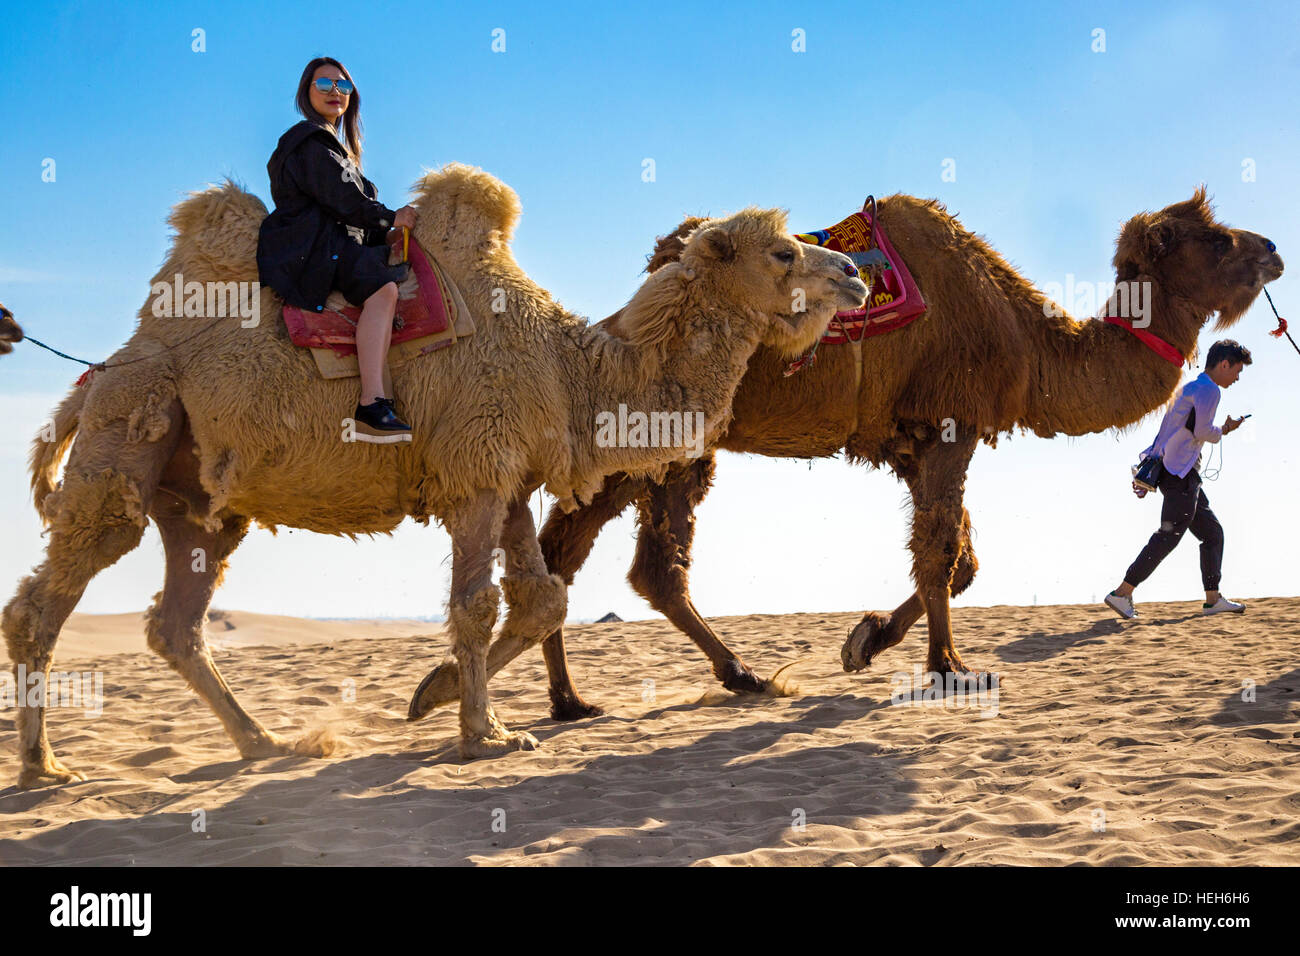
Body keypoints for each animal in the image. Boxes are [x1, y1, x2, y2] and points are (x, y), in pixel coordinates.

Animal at [7, 166, 873, 790]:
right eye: (784, 252)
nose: (855, 275)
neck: (571, 371)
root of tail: (102, 369)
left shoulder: (511, 480)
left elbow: (540, 598)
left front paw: (437, 695)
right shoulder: (477, 477)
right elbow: (476, 605)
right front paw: (484, 735)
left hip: (198, 501)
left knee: (176, 622)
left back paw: (265, 740)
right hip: (128, 434)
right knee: (46, 601)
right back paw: (44, 765)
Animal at [403, 188, 1279, 723]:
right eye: (1213, 238)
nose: (1272, 247)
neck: (1024, 340)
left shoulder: (912, 442)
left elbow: (959, 559)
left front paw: (867, 641)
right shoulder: (950, 424)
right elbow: (940, 555)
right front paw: (949, 665)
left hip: (654, 448)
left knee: (587, 554)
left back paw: (576, 698)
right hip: (661, 443)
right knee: (622, 559)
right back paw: (723, 676)